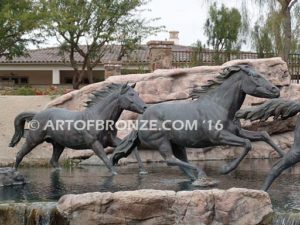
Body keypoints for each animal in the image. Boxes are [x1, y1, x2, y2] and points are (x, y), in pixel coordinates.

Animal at [9, 82, 148, 174]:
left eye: (137, 93)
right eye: (131, 95)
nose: (145, 107)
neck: (99, 117)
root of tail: (37, 114)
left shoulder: (111, 140)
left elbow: (133, 149)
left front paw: (142, 171)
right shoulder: (94, 143)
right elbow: (106, 160)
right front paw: (114, 172)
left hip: (58, 144)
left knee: (53, 161)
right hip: (34, 140)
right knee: (20, 154)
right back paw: (15, 172)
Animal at [112, 64, 284, 185]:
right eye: (256, 76)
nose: (276, 90)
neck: (220, 106)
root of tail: (140, 121)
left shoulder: (238, 132)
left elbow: (263, 135)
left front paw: (283, 157)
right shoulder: (220, 137)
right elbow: (247, 144)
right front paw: (225, 169)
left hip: (178, 144)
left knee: (180, 162)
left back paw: (197, 179)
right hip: (161, 142)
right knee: (170, 160)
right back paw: (202, 175)